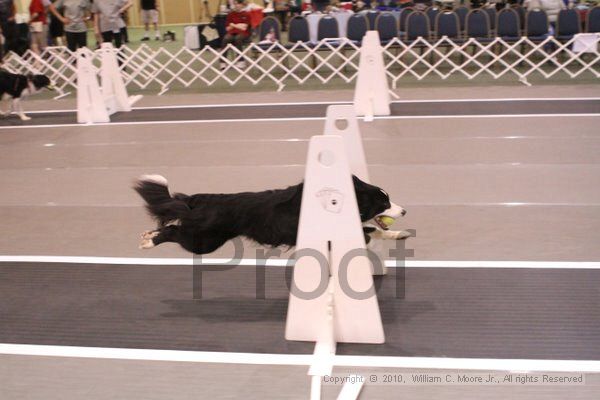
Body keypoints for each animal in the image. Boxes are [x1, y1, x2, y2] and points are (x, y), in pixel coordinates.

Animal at [134, 176, 410, 256]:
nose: (404, 210)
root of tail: (198, 199)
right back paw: (148, 240)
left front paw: (399, 234)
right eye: (384, 202)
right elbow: (369, 231)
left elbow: (375, 230)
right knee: (173, 231)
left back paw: (147, 235)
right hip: (204, 241)